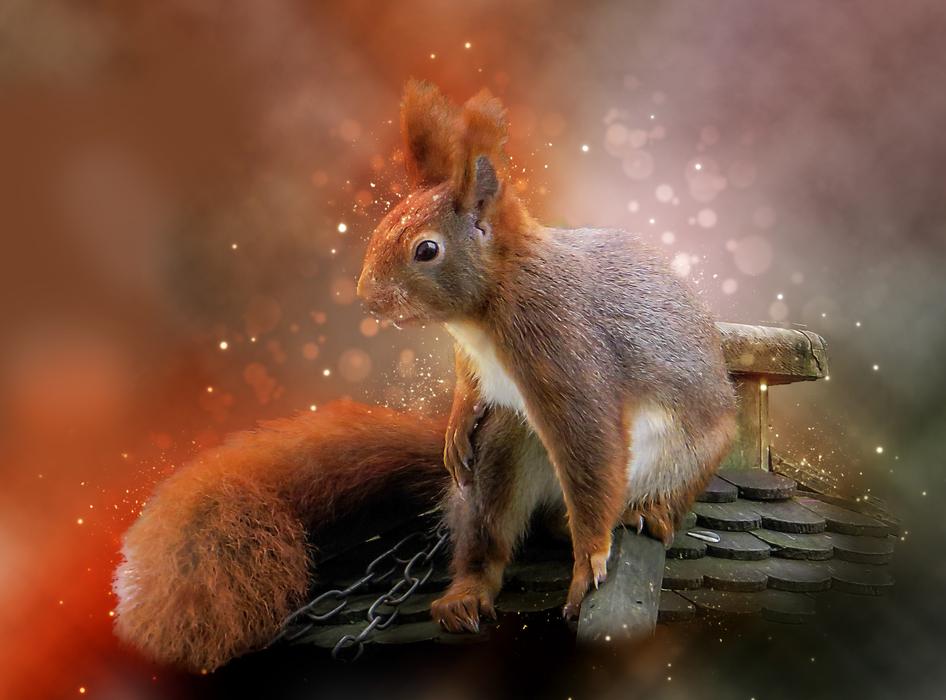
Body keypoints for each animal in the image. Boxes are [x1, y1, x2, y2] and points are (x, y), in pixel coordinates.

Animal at [112, 80, 736, 672]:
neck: (485, 312)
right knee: (489, 529)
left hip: (686, 453)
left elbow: (591, 455)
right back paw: (466, 591)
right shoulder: (474, 360)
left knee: (626, 496)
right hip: (504, 449)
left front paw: (589, 566)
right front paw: (455, 424)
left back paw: (648, 510)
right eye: (384, 224)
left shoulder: (564, 351)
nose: (366, 297)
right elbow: (469, 387)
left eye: (426, 249)